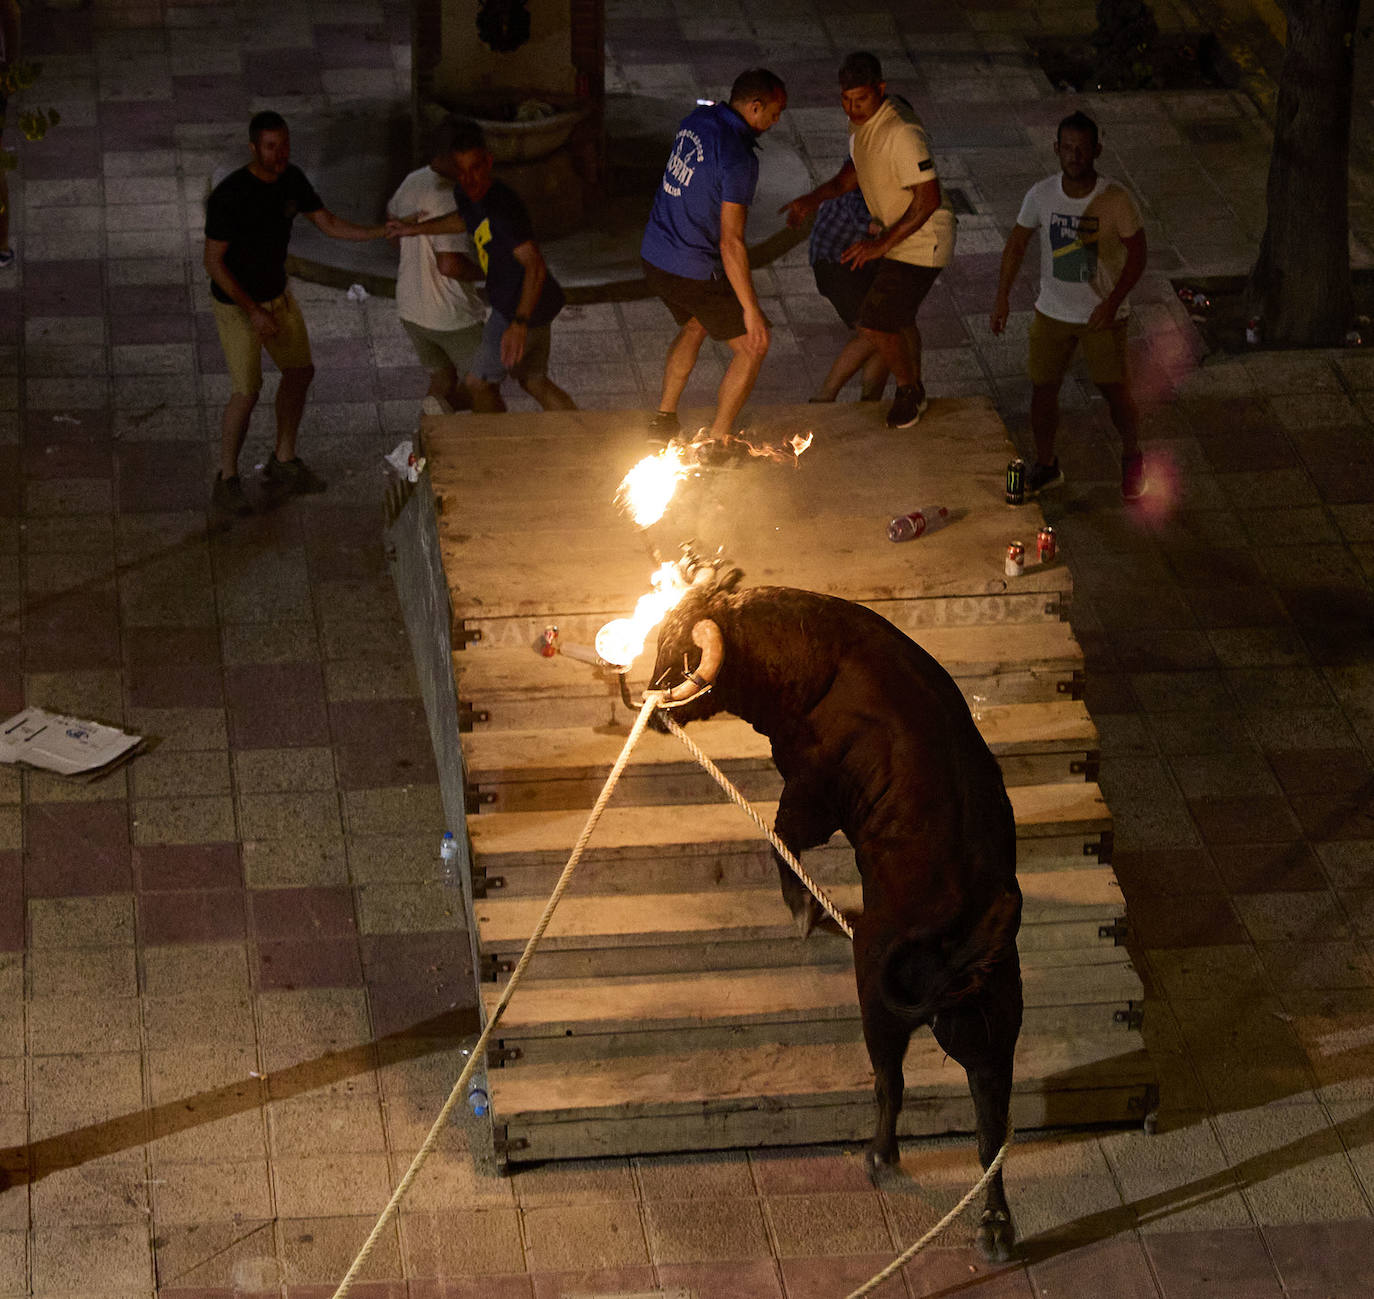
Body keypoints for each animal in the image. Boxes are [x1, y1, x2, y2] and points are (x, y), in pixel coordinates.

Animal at [645, 566, 1022, 1259]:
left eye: (674, 647)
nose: (647, 694)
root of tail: (978, 918)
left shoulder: (809, 789)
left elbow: (781, 837)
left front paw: (804, 910)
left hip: (878, 993)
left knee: (890, 1077)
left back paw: (880, 1156)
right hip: (990, 1022)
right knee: (990, 1121)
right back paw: (993, 1223)